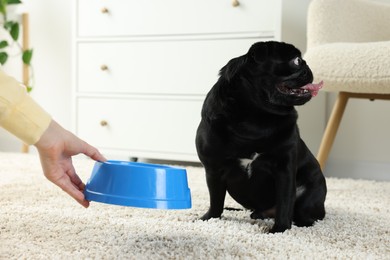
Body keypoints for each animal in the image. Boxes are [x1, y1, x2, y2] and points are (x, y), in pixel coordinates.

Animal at [195, 41, 326, 234]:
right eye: (296, 61)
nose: (307, 66)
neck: (256, 118)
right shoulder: (213, 169)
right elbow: (216, 200)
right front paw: (209, 218)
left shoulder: (285, 169)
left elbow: (285, 202)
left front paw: (279, 230)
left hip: (310, 194)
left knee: (303, 212)